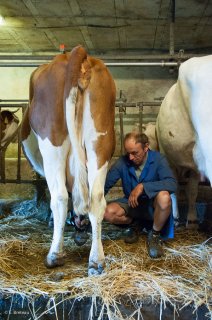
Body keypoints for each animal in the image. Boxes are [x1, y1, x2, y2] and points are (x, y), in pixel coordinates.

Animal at [20, 45, 117, 276]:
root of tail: (77, 52)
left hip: (52, 142)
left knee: (60, 197)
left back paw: (55, 254)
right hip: (100, 142)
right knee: (96, 198)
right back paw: (96, 260)